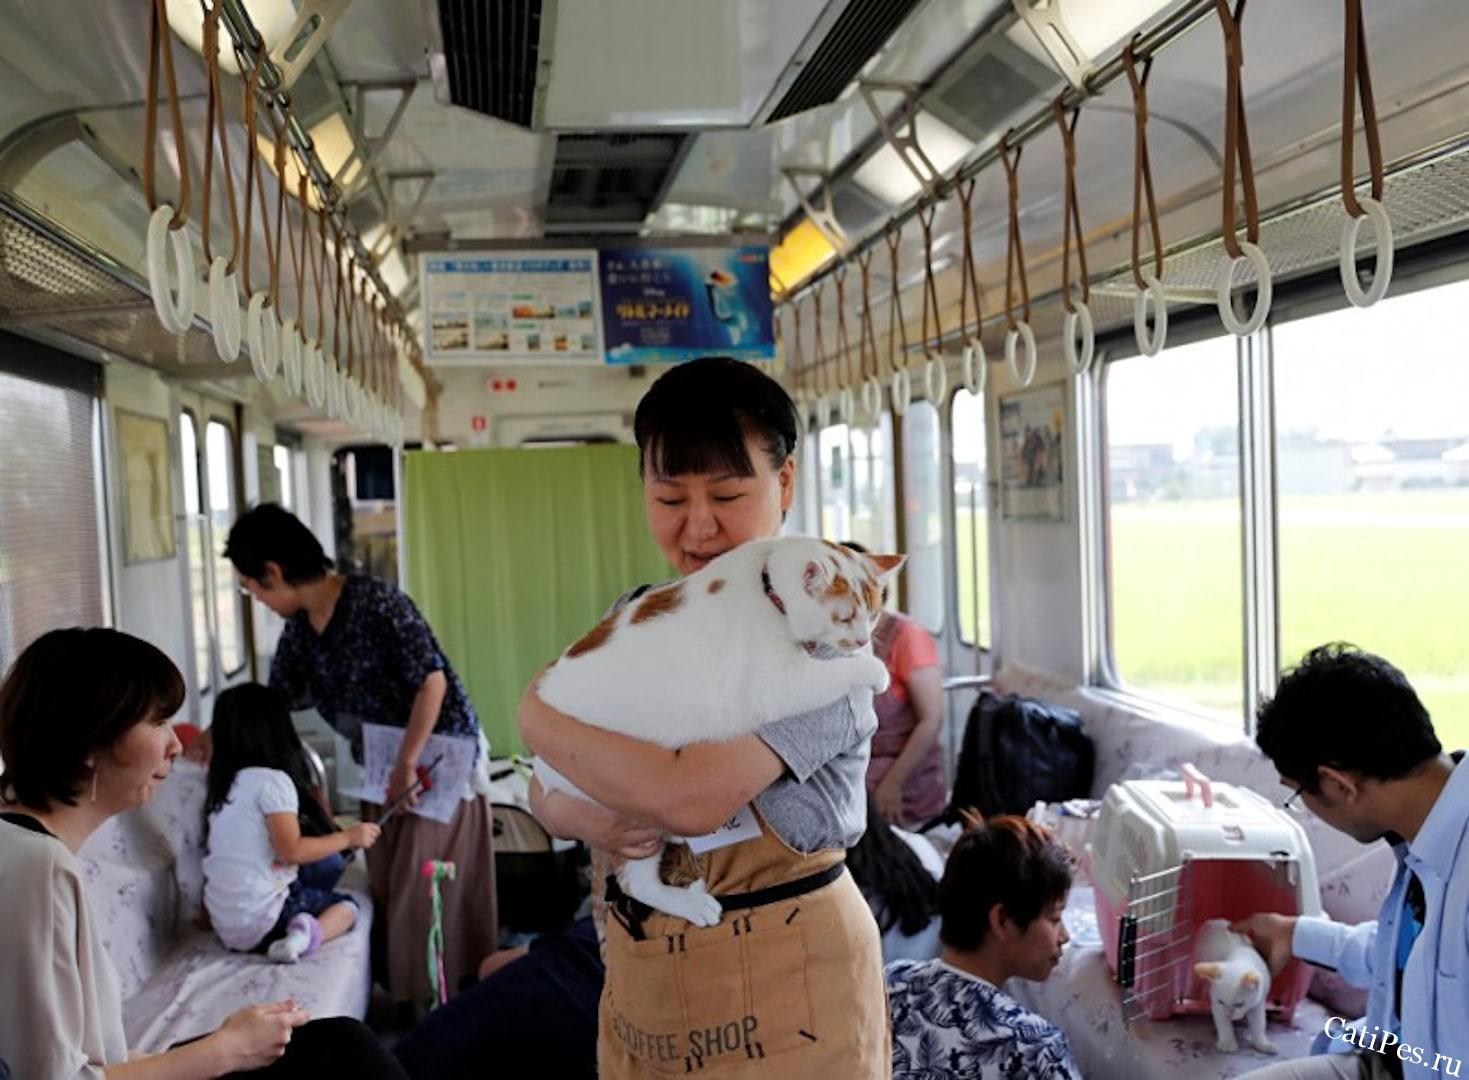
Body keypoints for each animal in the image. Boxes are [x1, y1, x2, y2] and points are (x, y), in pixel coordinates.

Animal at [534, 537, 899, 922]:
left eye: (872, 615)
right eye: (843, 618)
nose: (861, 640)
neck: (767, 586)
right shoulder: (779, 683)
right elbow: (835, 672)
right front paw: (874, 669)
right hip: (626, 810)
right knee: (636, 881)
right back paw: (692, 903)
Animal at [1192, 916, 1275, 1057]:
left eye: (1239, 1004)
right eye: (1221, 1001)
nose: (1228, 1015)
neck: (1239, 957)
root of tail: (1214, 920)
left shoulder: (1259, 1002)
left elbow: (1259, 1023)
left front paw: (1262, 1043)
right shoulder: (1216, 1005)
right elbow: (1223, 1024)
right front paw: (1227, 1043)